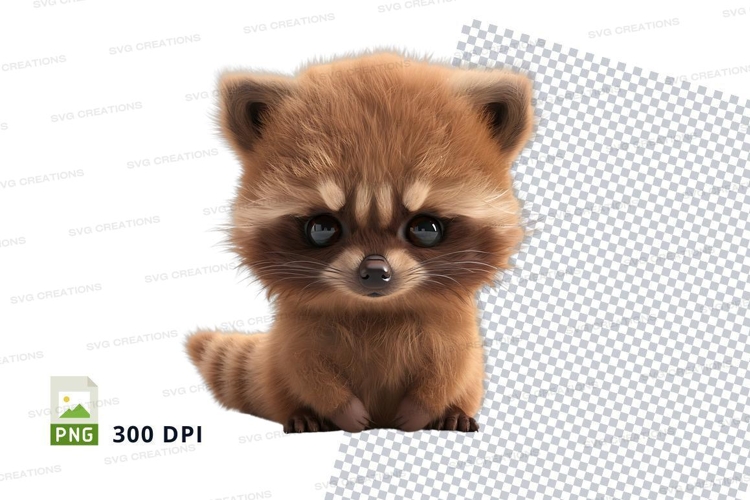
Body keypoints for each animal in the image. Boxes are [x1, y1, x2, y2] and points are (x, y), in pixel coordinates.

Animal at [186, 51, 534, 432]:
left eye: (426, 228)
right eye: (322, 228)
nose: (375, 272)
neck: (377, 310)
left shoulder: (456, 327)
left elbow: (451, 368)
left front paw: (420, 412)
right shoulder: (299, 331)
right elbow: (307, 369)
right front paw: (345, 412)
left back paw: (453, 413)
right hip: (275, 374)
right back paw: (304, 415)